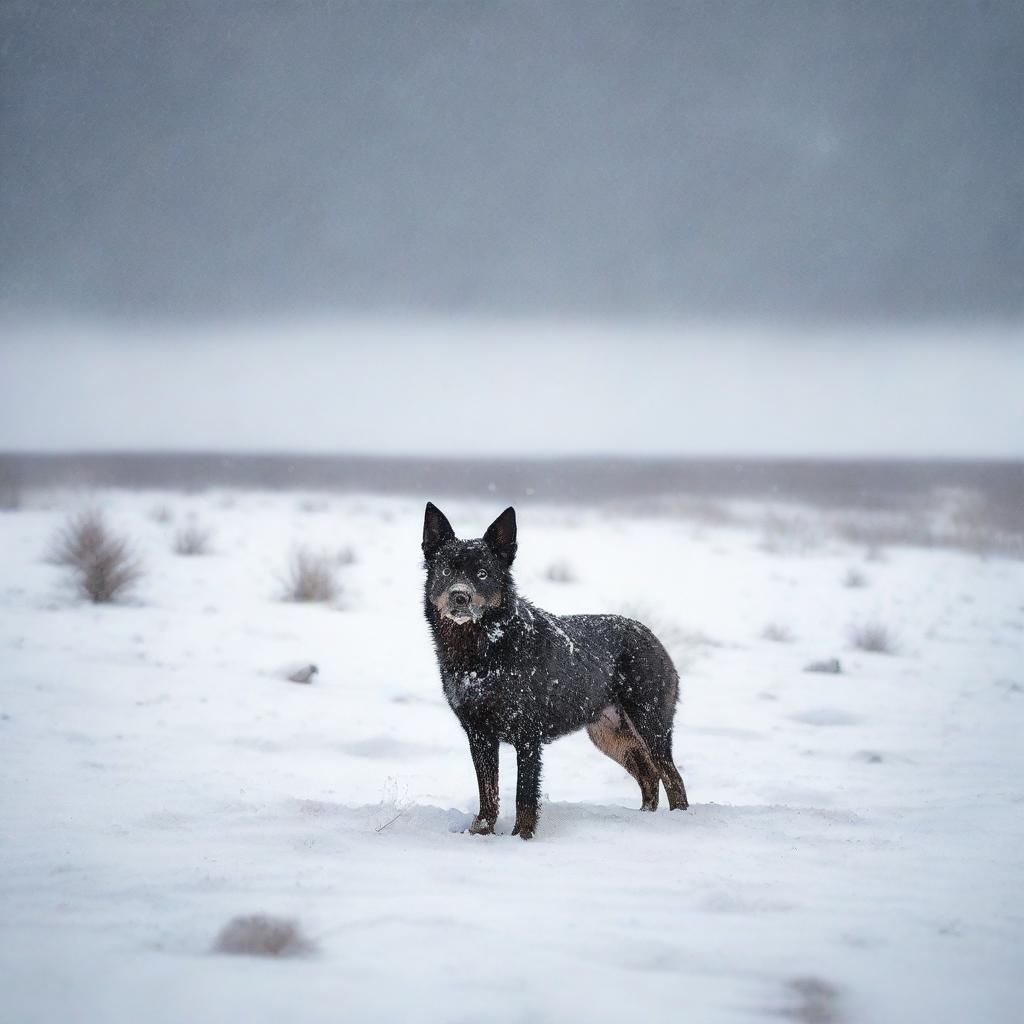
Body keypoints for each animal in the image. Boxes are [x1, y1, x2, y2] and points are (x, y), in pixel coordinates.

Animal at [419, 501, 692, 839]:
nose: (460, 596)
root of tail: (653, 637)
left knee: (672, 778)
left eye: (482, 573)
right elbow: (488, 794)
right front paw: (482, 833)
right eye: (446, 571)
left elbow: (524, 796)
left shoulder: (527, 738)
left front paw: (521, 838)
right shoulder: (479, 735)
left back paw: (677, 821)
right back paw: (645, 818)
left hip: (650, 726)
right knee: (649, 776)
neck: (484, 650)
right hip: (610, 736)